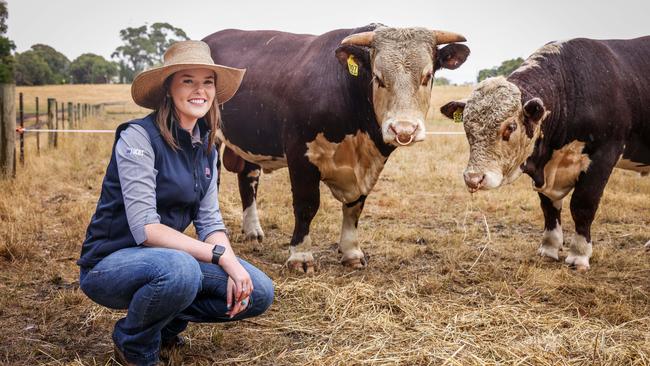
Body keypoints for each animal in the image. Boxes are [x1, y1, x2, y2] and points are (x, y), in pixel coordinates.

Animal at [202, 25, 466, 272]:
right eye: (378, 78)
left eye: (427, 76)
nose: (404, 129)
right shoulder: (301, 156)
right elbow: (307, 205)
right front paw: (301, 256)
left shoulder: (368, 165)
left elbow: (355, 208)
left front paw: (351, 252)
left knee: (249, 179)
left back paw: (252, 231)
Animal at [440, 37, 648, 270]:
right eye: (466, 126)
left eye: (510, 127)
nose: (473, 178)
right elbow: (548, 206)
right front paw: (549, 247)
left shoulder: (603, 156)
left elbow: (582, 205)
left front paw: (579, 253)